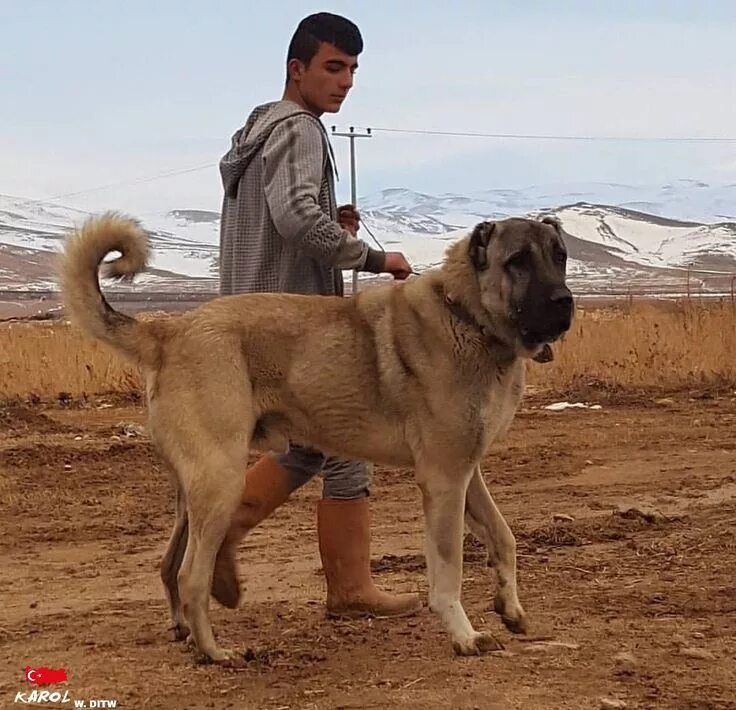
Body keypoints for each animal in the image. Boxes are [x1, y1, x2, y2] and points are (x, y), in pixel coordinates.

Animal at [59, 213, 576, 668]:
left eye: (560, 255)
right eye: (517, 261)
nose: (564, 302)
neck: (468, 314)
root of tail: (167, 330)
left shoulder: (468, 472)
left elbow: (503, 537)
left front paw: (510, 607)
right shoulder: (444, 478)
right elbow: (448, 571)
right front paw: (465, 636)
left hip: (195, 490)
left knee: (169, 566)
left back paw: (186, 630)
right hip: (220, 477)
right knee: (190, 576)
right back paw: (215, 652)